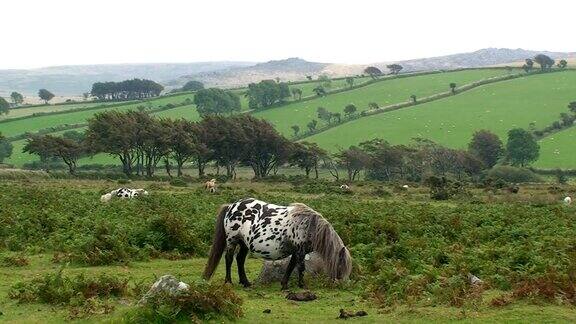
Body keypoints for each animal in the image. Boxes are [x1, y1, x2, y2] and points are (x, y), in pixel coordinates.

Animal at [205, 199, 354, 290]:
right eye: (342, 265)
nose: (343, 284)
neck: (310, 226)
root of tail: (231, 206)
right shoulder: (300, 251)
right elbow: (301, 268)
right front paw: (302, 285)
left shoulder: (296, 252)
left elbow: (291, 267)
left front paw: (284, 285)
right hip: (232, 240)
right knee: (229, 259)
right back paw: (228, 282)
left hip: (244, 243)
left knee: (240, 259)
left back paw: (245, 282)